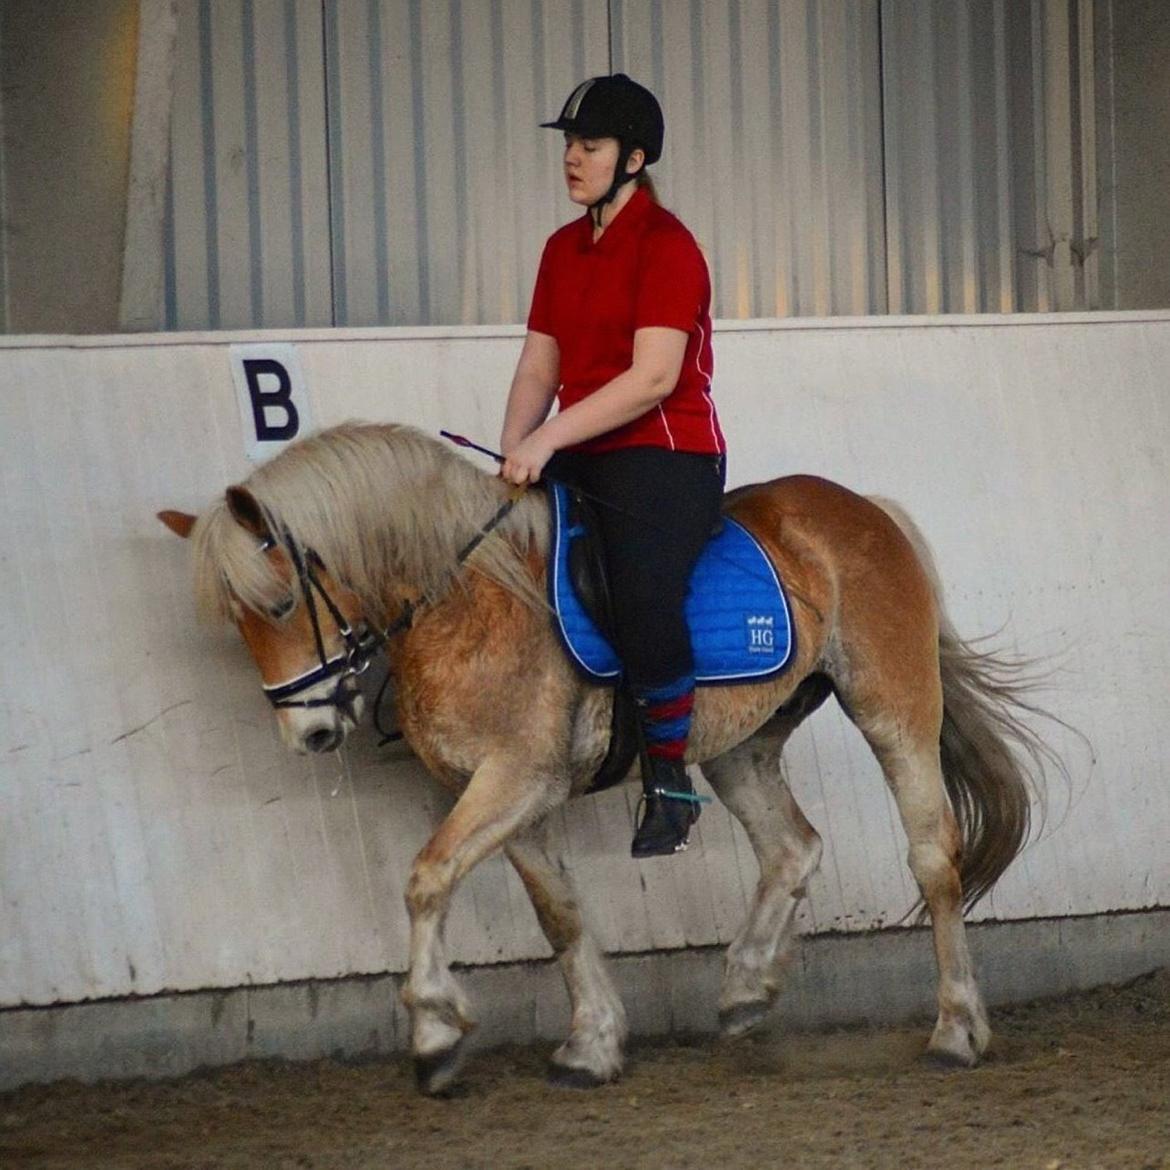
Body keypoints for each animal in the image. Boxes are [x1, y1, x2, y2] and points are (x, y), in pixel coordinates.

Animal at [160, 423, 1057, 1095]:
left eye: (281, 604)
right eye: (236, 624)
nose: (308, 736)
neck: (467, 599)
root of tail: (862, 507)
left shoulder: (515, 779)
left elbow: (426, 880)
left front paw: (434, 1032)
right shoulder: (503, 795)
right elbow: (558, 913)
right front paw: (590, 1044)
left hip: (892, 708)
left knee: (933, 857)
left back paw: (956, 1029)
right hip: (741, 742)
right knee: (792, 848)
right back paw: (746, 989)